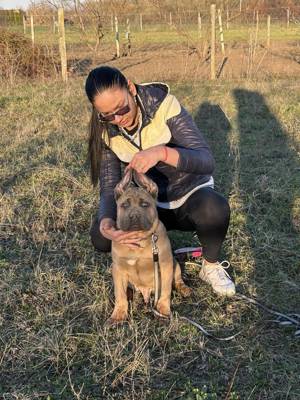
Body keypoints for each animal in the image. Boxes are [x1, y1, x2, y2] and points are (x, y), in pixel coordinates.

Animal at [109, 170, 191, 324]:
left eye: (145, 204)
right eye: (125, 205)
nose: (134, 216)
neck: (139, 240)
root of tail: (146, 291)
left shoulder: (165, 265)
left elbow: (165, 291)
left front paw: (163, 309)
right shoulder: (118, 269)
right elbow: (119, 294)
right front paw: (118, 314)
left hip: (175, 264)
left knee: (177, 279)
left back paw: (184, 289)